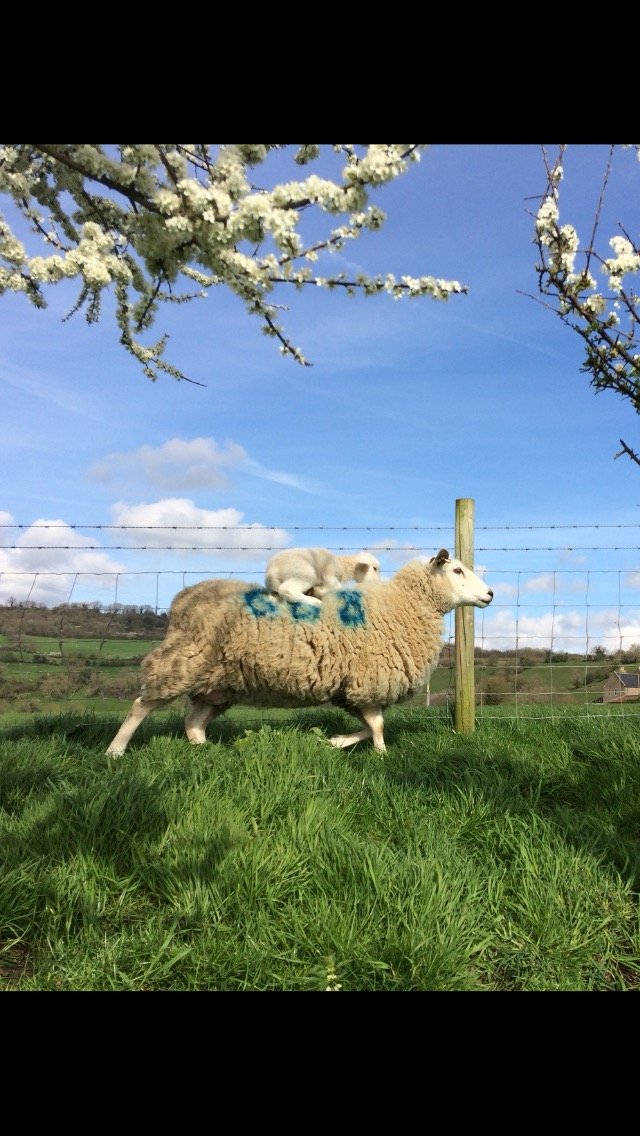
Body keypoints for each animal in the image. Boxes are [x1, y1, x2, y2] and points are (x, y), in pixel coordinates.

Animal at [107, 547, 493, 758]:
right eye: (457, 569)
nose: (489, 594)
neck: (400, 606)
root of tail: (184, 598)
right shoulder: (366, 681)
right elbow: (379, 726)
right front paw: (382, 756)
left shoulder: (349, 687)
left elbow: (370, 726)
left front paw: (338, 741)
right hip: (183, 662)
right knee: (141, 706)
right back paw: (115, 751)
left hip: (220, 683)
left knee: (193, 722)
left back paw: (207, 752)